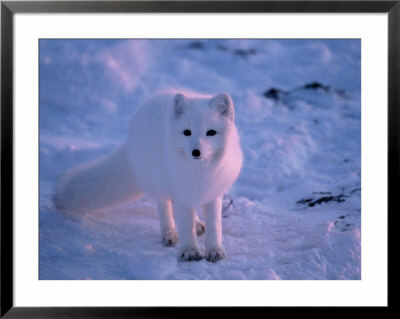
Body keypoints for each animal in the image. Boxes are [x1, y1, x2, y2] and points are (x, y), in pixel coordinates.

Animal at [52, 90, 241, 262]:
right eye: (187, 132)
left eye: (211, 132)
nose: (196, 152)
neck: (200, 172)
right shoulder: (181, 192)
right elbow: (185, 225)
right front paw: (190, 251)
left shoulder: (213, 193)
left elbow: (215, 226)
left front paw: (215, 251)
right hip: (158, 182)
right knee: (164, 206)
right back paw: (169, 234)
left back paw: (197, 225)